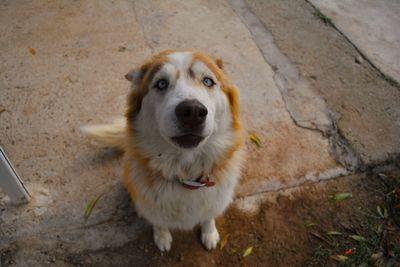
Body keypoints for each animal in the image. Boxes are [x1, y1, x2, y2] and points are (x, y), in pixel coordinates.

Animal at [81, 49, 244, 252]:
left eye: (208, 81)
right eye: (161, 83)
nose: (192, 111)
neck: (186, 173)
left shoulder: (215, 199)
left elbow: (208, 216)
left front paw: (209, 233)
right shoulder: (149, 204)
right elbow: (159, 222)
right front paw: (162, 237)